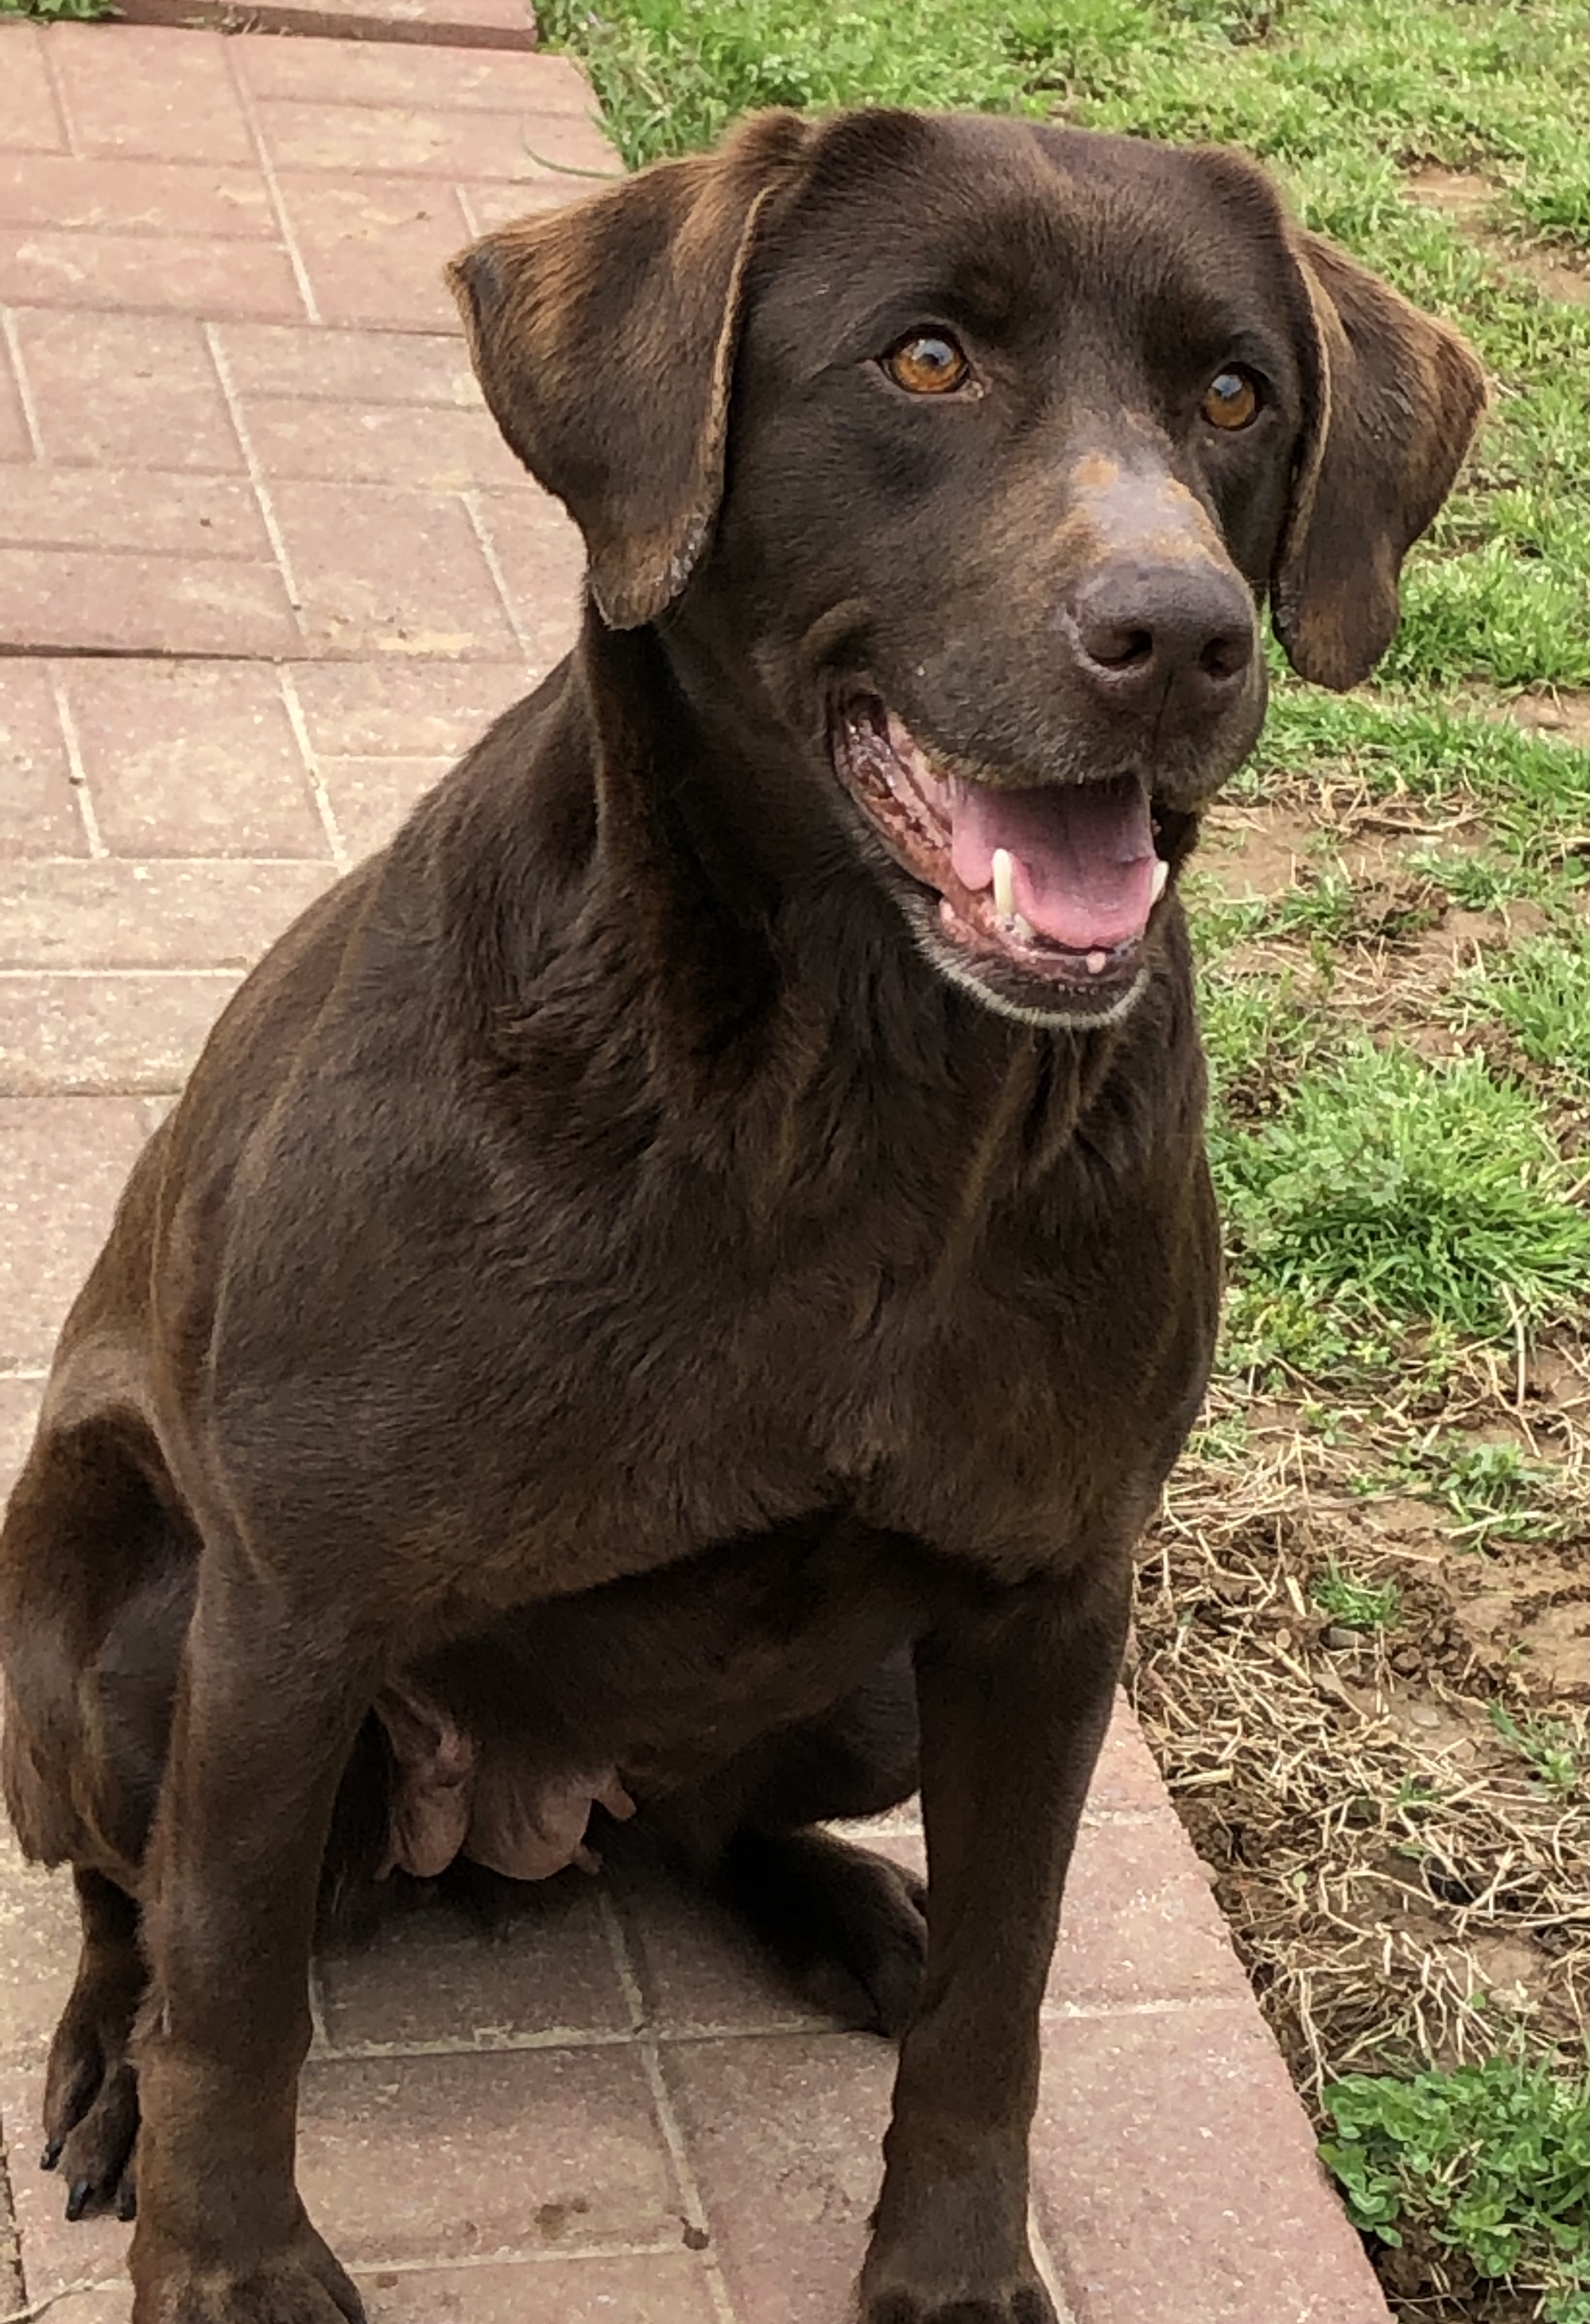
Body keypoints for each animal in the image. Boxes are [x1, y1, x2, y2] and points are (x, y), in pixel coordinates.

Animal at [0, 104, 1478, 2324]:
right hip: (119, 1629)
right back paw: (101, 2050)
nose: (1182, 635)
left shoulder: (1052, 1600)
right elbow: (231, 1994)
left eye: (1235, 395)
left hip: (870, 1689)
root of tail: (516, 1817)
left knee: (721, 1832)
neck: (853, 1095)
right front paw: (230, 2264)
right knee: (131, 1895)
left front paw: (950, 2265)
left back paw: (853, 1908)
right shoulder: (288, 1607)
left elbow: (1006, 1994)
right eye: (923, 360)